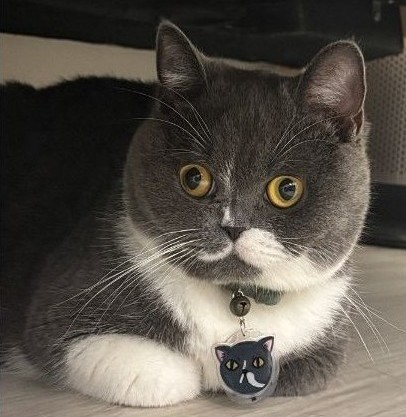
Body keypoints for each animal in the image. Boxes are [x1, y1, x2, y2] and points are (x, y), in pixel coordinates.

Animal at [1, 21, 370, 407]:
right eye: (195, 178)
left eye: (287, 189)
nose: (232, 226)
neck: (235, 299)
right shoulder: (61, 311)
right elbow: (168, 376)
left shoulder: (325, 340)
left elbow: (301, 369)